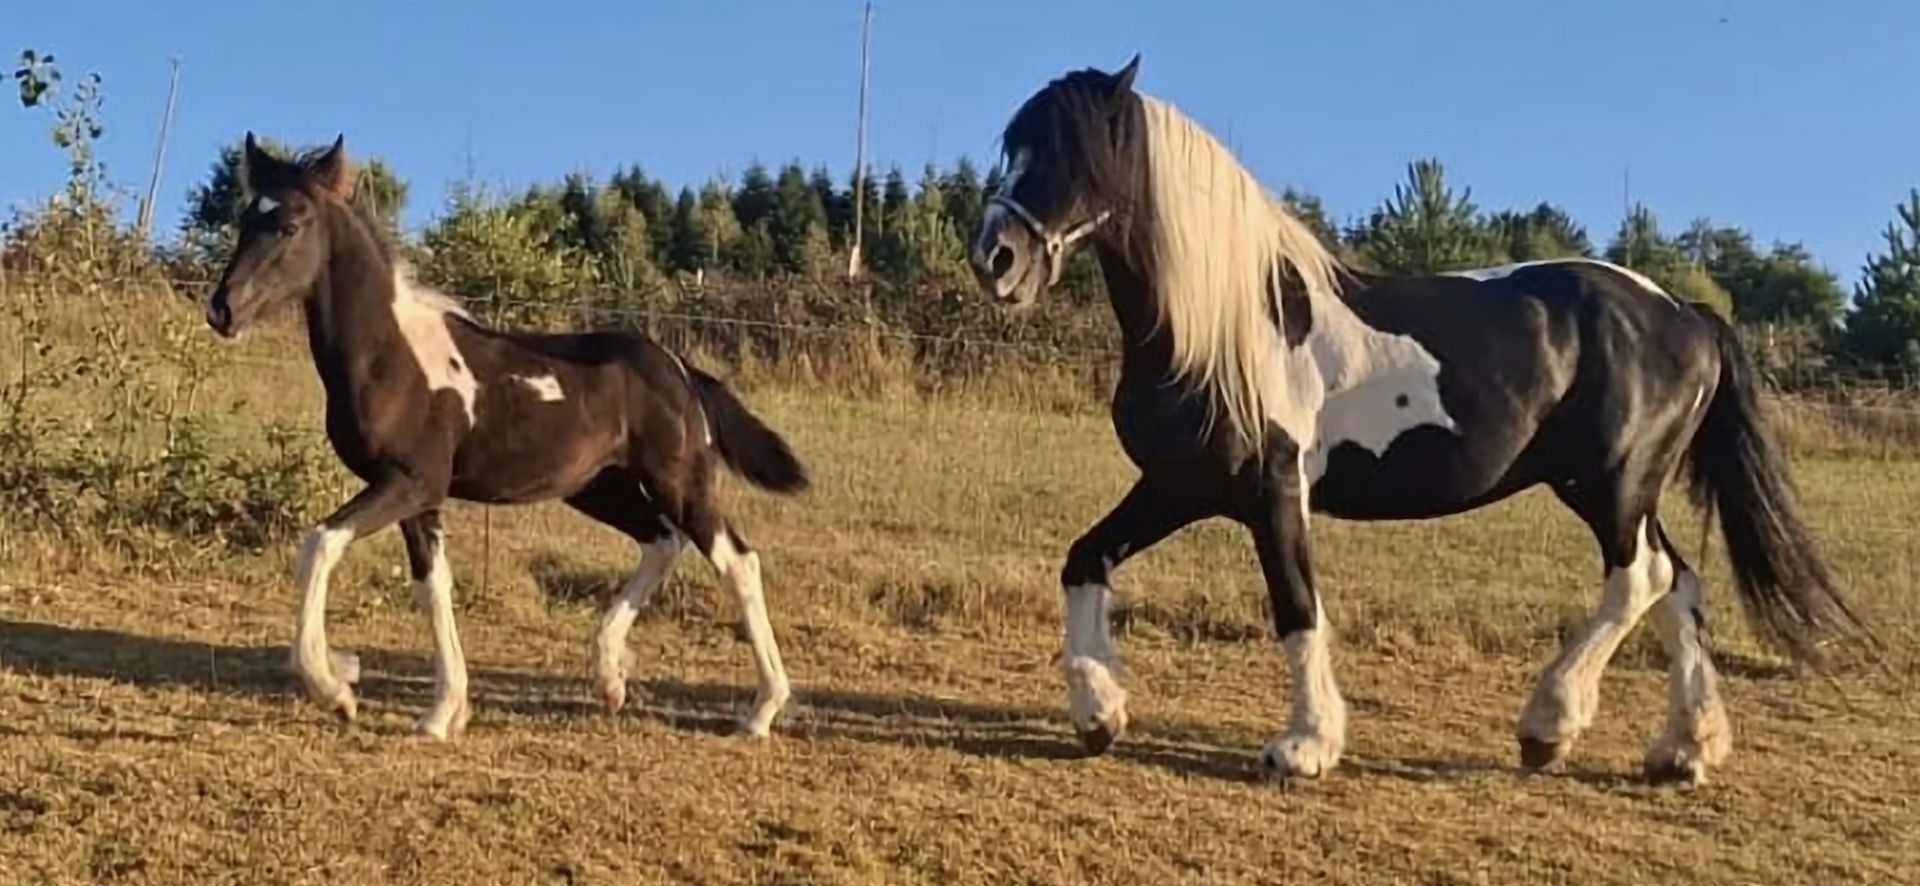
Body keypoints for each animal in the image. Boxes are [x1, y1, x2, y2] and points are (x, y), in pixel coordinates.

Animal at [203, 134, 809, 740]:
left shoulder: (410, 482)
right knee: (661, 541)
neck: (390, 356)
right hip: (597, 488)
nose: (222, 310)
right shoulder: (418, 496)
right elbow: (432, 587)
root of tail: (680, 369)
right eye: (245, 219)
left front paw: (335, 689)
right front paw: (441, 713)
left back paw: (760, 710)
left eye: (290, 224)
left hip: (680, 482)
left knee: (736, 561)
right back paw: (610, 679)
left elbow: (320, 545)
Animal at [967, 56, 1864, 784]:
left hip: (1611, 483)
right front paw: (1099, 715)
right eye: (1015, 147)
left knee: (1636, 579)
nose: (994, 258)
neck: (1225, 327)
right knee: (1677, 582)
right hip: (1617, 488)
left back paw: (1549, 726)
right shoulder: (1178, 484)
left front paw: (1305, 747)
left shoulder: (1272, 493)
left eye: (1075, 152)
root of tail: (1684, 311)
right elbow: (1084, 560)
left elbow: (1298, 610)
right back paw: (1683, 750)